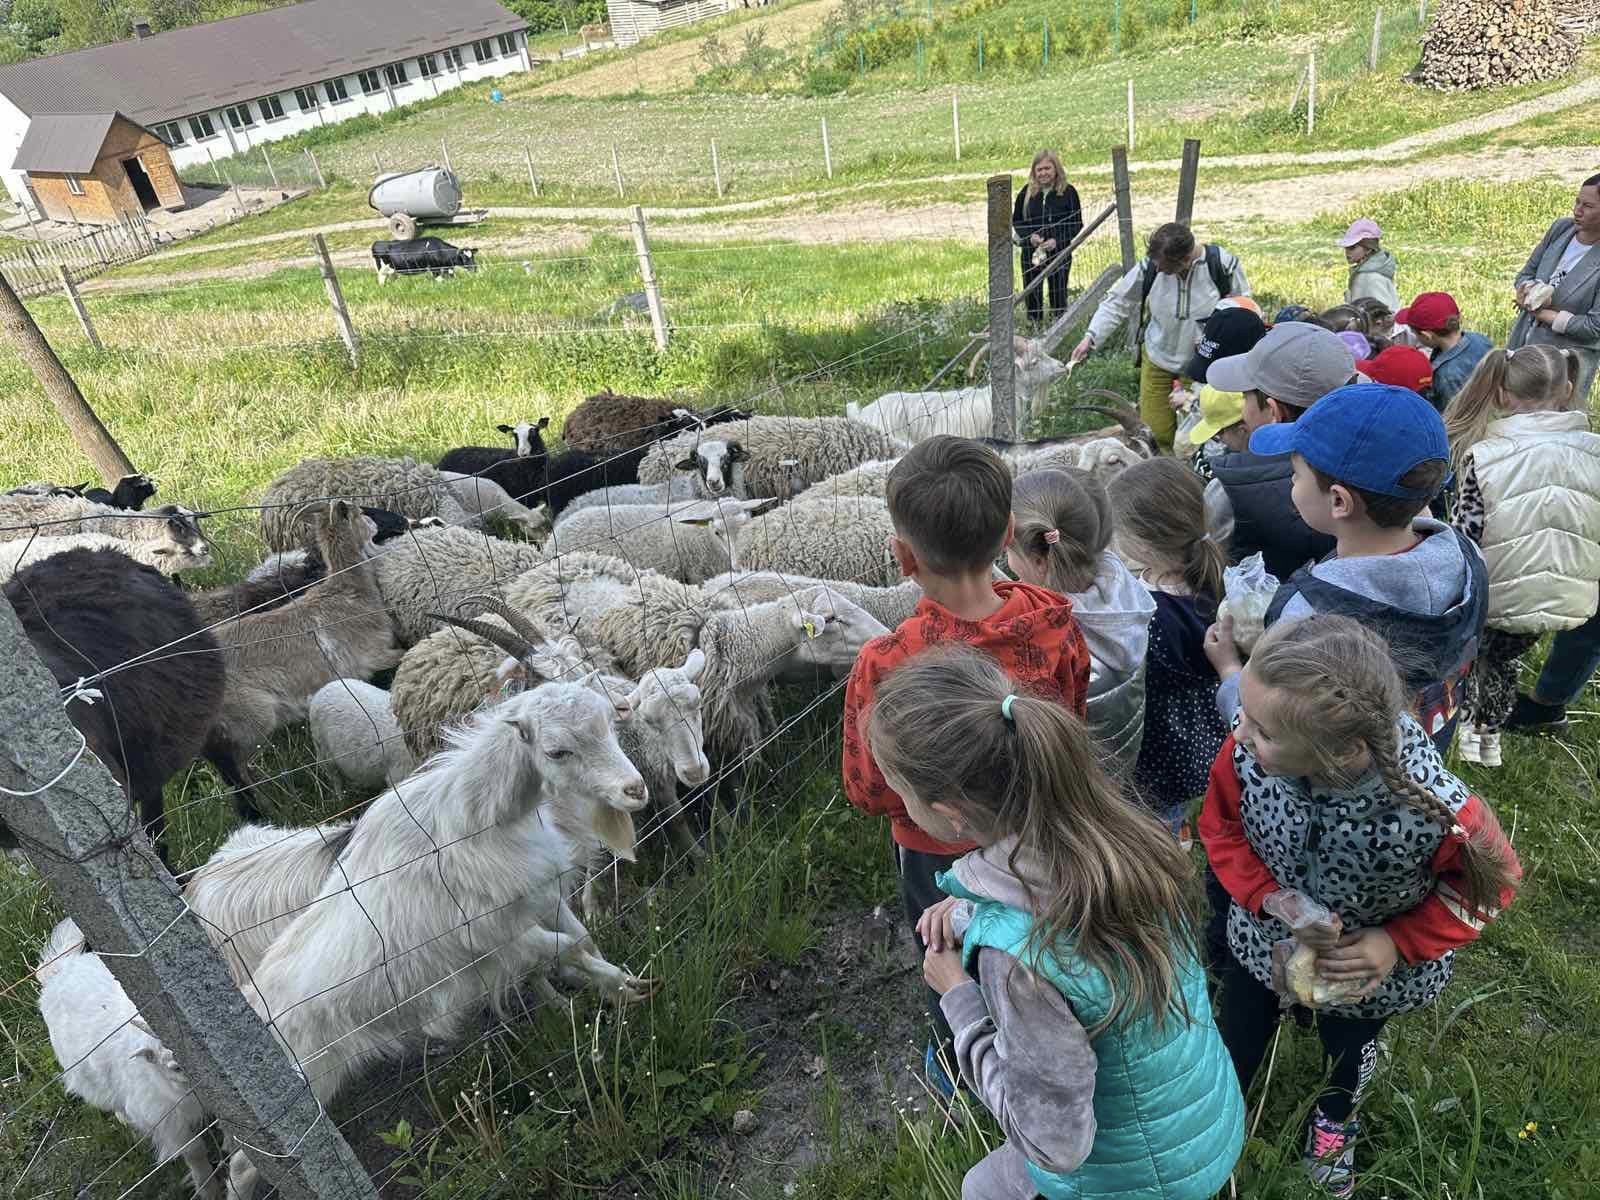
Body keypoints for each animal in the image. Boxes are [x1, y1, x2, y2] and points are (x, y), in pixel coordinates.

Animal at [36, 919, 226, 1200]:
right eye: (175, 1067)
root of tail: (59, 970)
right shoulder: (164, 1120)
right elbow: (194, 1151)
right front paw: (208, 1188)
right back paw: (123, 1117)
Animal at [231, 680, 655, 1110]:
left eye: (610, 723)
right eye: (557, 751)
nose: (635, 790)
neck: (475, 822)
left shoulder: (536, 894)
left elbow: (581, 938)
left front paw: (618, 989)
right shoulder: (494, 939)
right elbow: (565, 947)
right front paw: (620, 986)